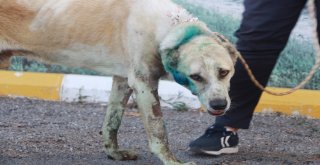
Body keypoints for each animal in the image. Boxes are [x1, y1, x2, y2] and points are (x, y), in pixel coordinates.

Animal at [0, 0, 240, 164]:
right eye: (196, 77)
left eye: (224, 72)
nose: (219, 104)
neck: (167, 29)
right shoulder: (144, 83)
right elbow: (159, 129)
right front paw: (172, 161)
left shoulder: (123, 80)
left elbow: (111, 122)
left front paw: (113, 153)